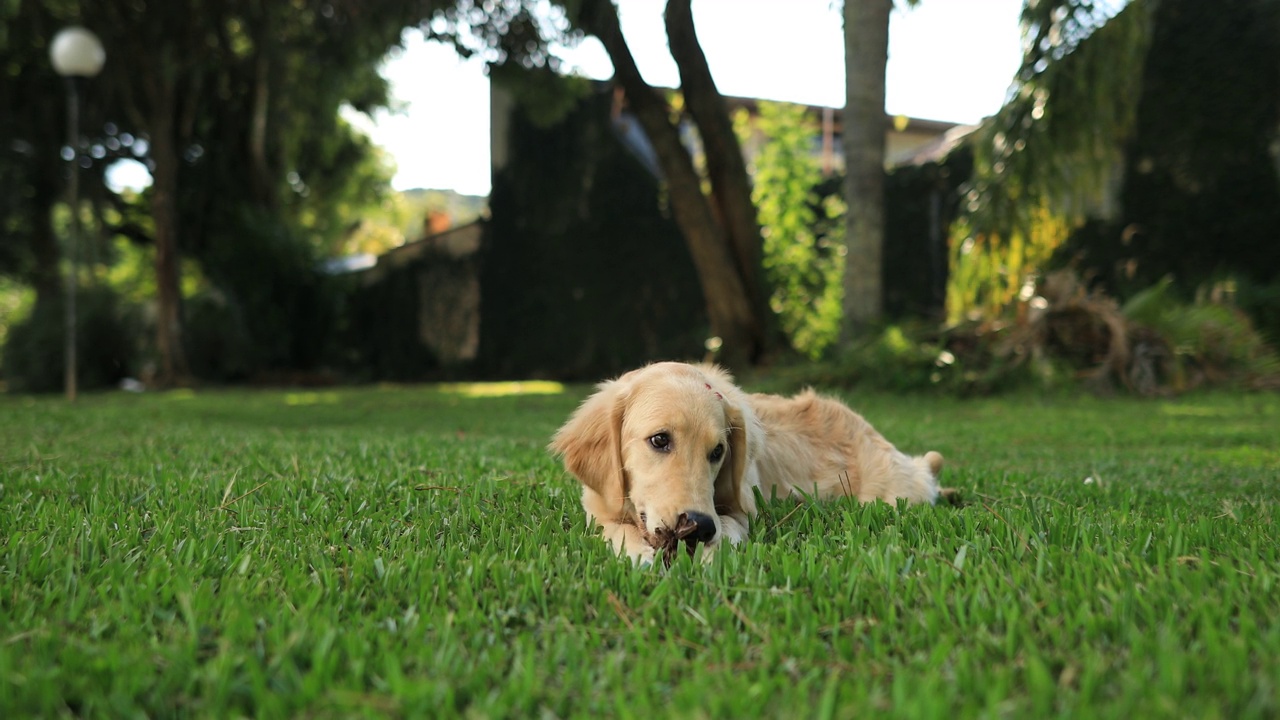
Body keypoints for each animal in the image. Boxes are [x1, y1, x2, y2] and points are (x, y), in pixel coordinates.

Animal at [545, 361, 947, 563]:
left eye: (717, 452)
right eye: (659, 440)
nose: (699, 527)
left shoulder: (740, 508)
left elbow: (730, 525)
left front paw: (711, 551)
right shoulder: (598, 508)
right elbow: (614, 528)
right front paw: (636, 550)